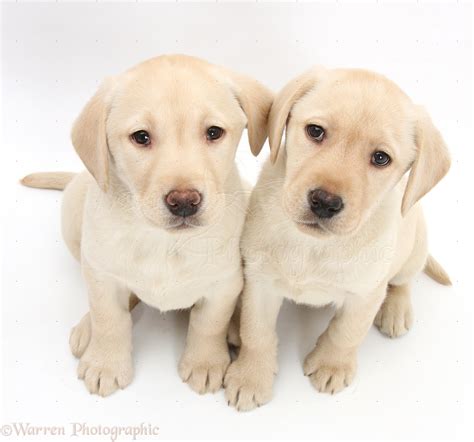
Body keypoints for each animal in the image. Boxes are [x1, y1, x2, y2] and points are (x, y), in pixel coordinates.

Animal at [22, 54, 272, 398]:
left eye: (213, 132)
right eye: (141, 137)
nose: (184, 201)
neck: (162, 241)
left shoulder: (224, 284)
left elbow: (208, 324)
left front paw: (205, 363)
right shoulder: (101, 276)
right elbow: (109, 318)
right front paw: (106, 363)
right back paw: (88, 328)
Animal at [224, 66, 450, 410]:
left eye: (381, 158)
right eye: (315, 131)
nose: (324, 202)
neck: (313, 246)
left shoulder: (366, 293)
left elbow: (347, 332)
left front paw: (332, 365)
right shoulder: (260, 282)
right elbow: (256, 333)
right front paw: (251, 375)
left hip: (414, 248)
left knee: (402, 282)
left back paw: (396, 310)